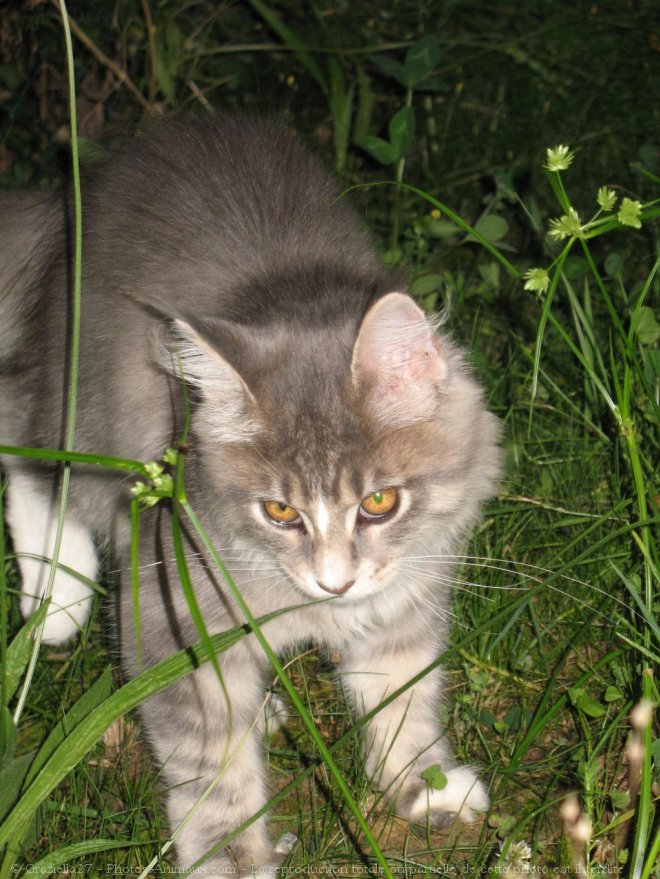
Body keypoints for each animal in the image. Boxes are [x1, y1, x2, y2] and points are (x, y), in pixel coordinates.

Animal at [0, 115, 500, 872]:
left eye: (379, 503)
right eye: (280, 510)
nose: (333, 582)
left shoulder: (403, 597)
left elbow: (402, 695)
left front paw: (422, 784)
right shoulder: (171, 605)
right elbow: (212, 765)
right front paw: (233, 855)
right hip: (80, 406)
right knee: (29, 456)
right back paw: (57, 598)